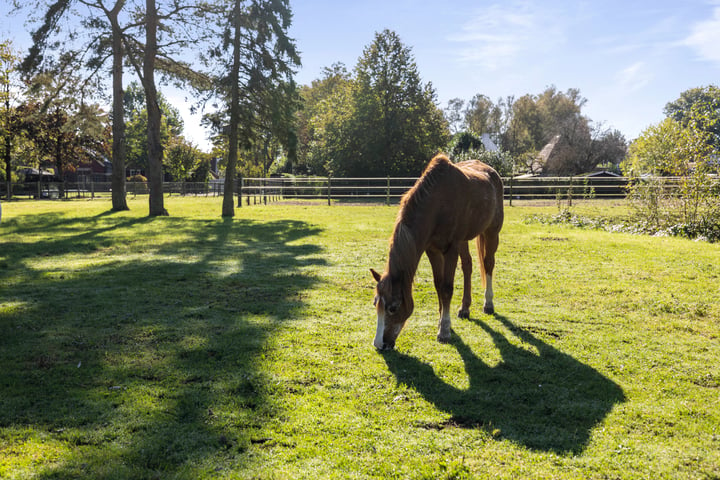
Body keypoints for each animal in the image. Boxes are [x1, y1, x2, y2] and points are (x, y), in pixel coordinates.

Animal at [374, 154, 504, 348]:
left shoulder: (451, 249)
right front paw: (442, 321)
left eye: (393, 308)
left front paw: (444, 330)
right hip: (464, 240)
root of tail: (492, 172)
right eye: (376, 303)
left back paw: (488, 304)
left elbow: (447, 288)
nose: (378, 344)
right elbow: (438, 285)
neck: (437, 204)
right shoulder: (432, 250)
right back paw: (465, 308)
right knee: (468, 266)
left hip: (491, 232)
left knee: (488, 263)